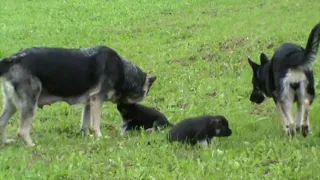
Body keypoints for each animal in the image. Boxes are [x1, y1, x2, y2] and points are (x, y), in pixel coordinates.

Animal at [0, 45, 156, 146]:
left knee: (2, 122)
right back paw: (31, 145)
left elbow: (85, 123)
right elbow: (95, 124)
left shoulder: (89, 103)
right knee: (22, 130)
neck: (124, 71)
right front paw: (99, 137)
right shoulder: (97, 100)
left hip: (12, 104)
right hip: (29, 104)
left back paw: (5, 142)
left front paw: (87, 136)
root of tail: (13, 59)